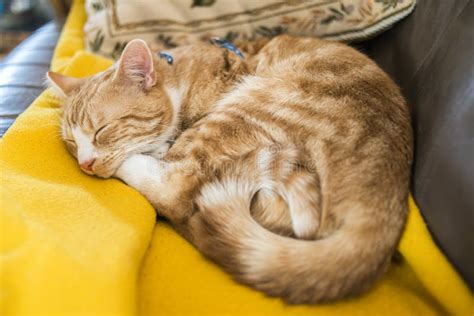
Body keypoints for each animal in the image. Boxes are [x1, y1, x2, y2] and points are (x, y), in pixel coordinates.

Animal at [46, 36, 412, 304]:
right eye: (72, 143)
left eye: (101, 130)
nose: (85, 163)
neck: (180, 73)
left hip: (251, 104)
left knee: (176, 190)